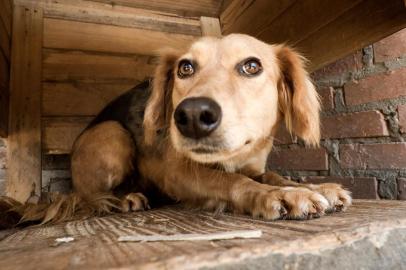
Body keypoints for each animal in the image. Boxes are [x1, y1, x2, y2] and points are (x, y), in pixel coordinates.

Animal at [0, 33, 350, 227]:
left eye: (252, 66)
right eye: (185, 67)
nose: (192, 115)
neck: (237, 155)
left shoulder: (254, 166)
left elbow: (273, 175)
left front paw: (311, 187)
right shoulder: (178, 172)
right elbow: (230, 180)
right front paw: (280, 196)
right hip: (112, 135)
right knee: (88, 196)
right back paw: (124, 199)